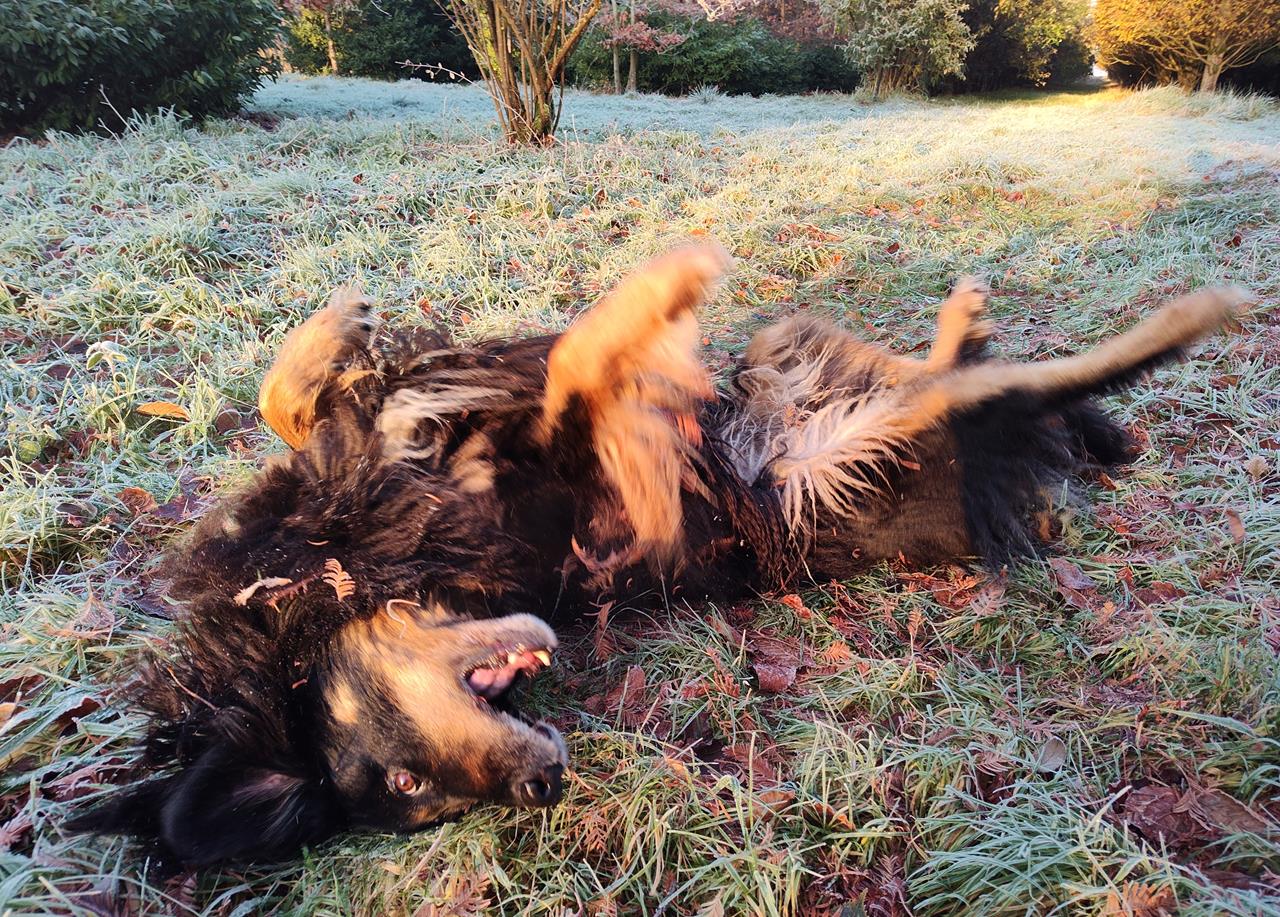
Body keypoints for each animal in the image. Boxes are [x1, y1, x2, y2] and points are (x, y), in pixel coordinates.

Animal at [69, 245, 1245, 865]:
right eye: (414, 789)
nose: (540, 785)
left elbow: (303, 399)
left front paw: (339, 333)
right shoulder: (596, 489)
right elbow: (575, 373)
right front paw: (652, 294)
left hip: (810, 360)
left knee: (953, 365)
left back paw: (983, 319)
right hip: (880, 443)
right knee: (1046, 376)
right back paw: (1177, 316)